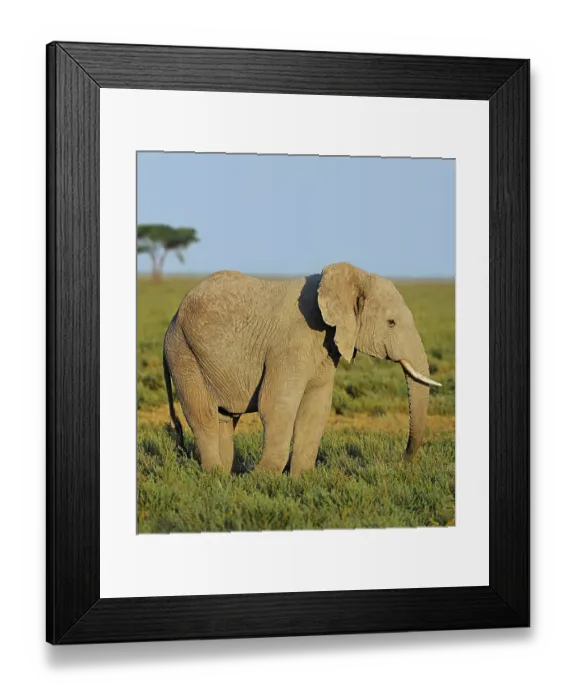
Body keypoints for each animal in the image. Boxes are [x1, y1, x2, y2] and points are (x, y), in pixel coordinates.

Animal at [163, 262, 441, 476]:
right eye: (391, 323)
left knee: (225, 418)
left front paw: (301, 479)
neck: (351, 276)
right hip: (183, 352)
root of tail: (172, 319)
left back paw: (227, 475)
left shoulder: (325, 349)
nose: (401, 462)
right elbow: (277, 405)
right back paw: (217, 476)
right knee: (204, 416)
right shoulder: (291, 344)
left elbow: (315, 409)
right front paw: (261, 478)